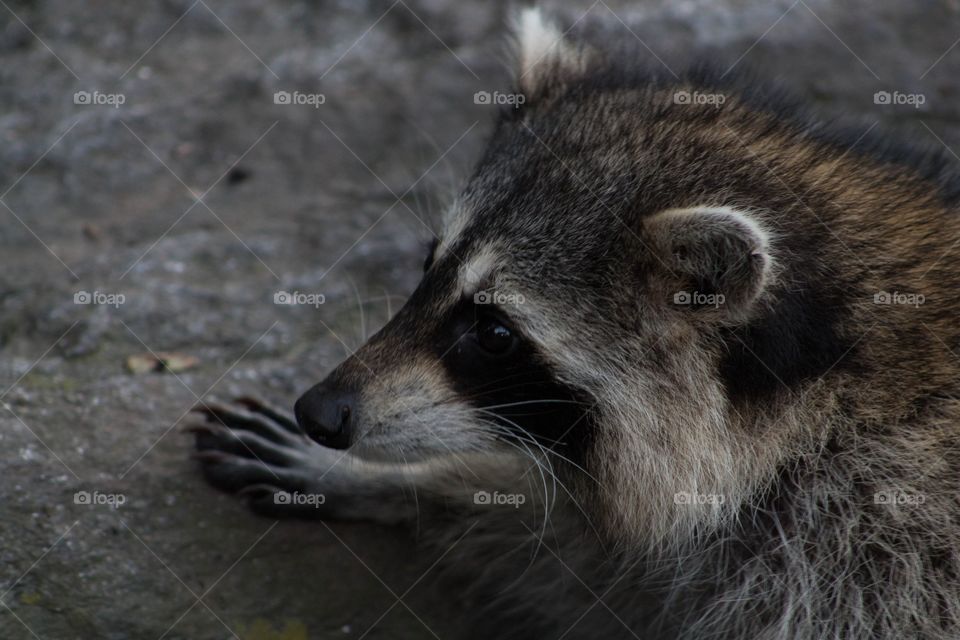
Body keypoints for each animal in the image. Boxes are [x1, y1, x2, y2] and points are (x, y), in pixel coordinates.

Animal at [188, 8, 960, 639]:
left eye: (495, 334)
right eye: (428, 265)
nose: (321, 411)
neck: (820, 396)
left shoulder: (877, 542)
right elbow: (588, 565)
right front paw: (392, 478)